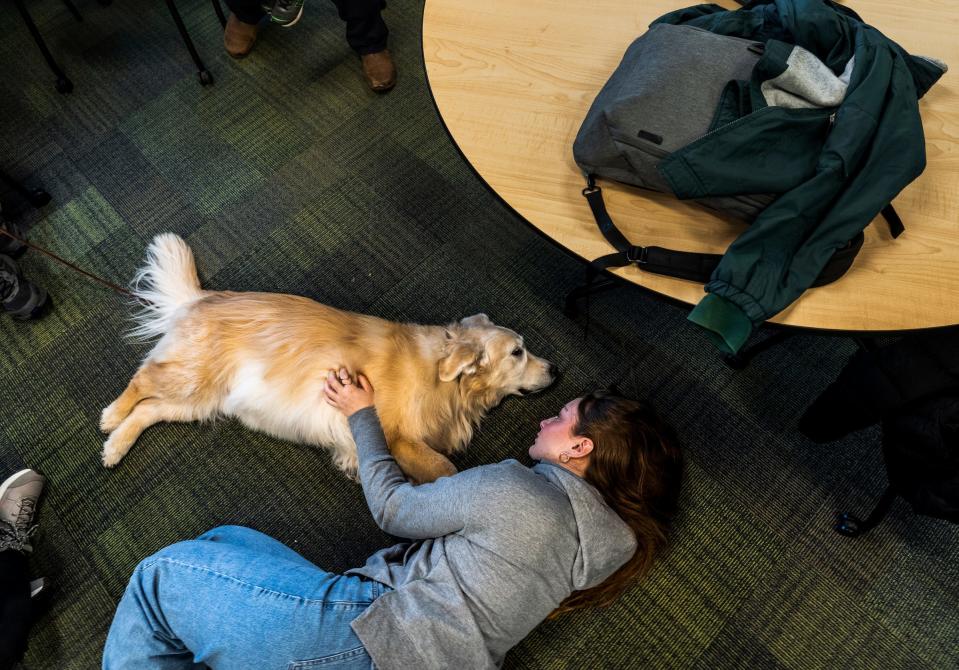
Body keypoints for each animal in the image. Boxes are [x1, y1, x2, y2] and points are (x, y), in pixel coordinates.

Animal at [99, 235, 556, 484]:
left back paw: (115, 447)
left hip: (203, 401)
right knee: (143, 380)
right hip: (192, 377)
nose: (556, 369)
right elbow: (444, 469)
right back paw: (111, 416)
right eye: (518, 351)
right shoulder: (394, 437)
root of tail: (204, 297)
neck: (444, 380)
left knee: (150, 411)